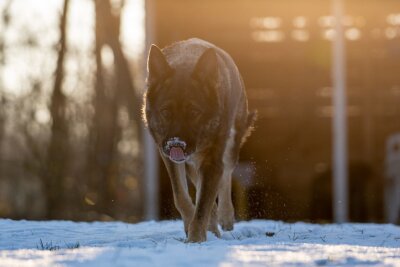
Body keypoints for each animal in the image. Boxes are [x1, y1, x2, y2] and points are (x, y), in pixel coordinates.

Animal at [144, 38, 255, 244]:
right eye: (165, 112)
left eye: (194, 112)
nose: (176, 144)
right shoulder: (171, 159)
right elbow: (182, 197)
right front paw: (193, 228)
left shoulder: (212, 161)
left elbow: (203, 206)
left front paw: (195, 239)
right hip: (192, 163)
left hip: (230, 144)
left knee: (226, 174)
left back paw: (225, 216)